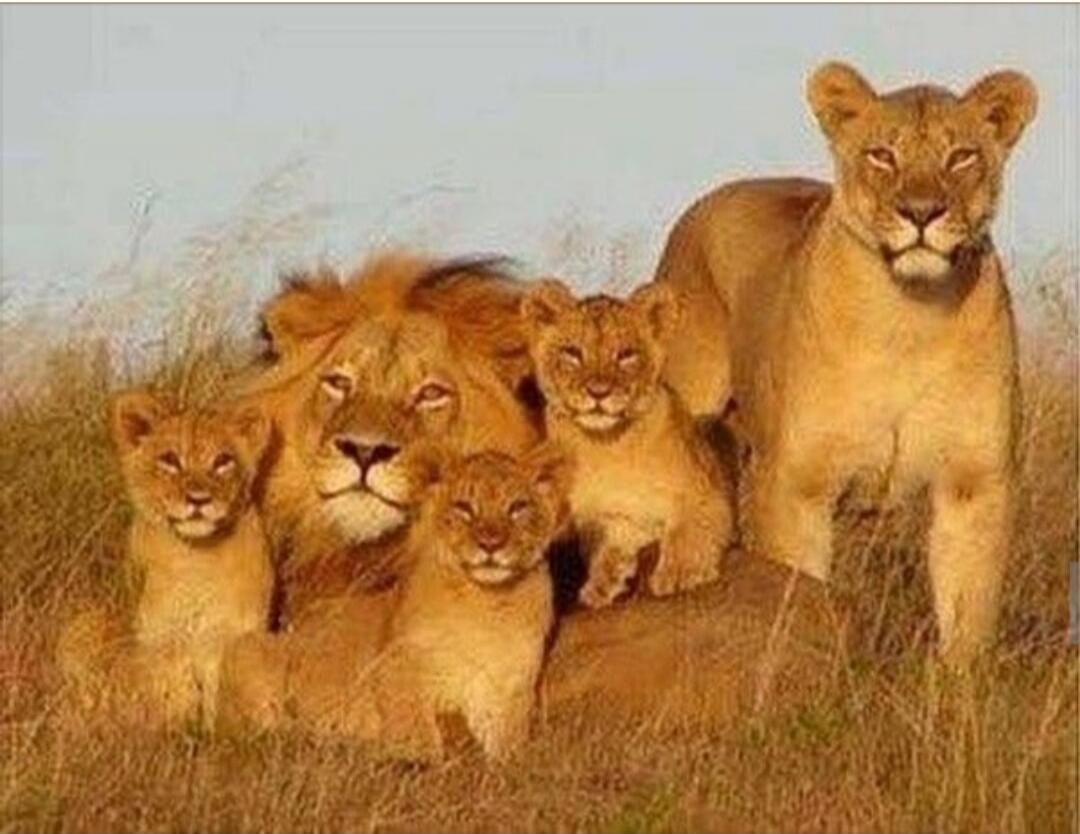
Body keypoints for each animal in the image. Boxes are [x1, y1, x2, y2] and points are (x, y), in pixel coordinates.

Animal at [62, 391, 274, 727]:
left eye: (222, 461)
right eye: (170, 460)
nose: (198, 499)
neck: (196, 559)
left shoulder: (231, 635)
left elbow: (220, 691)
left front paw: (217, 730)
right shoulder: (160, 638)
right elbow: (171, 690)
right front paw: (174, 729)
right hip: (82, 625)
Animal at [521, 278, 735, 608]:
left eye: (626, 355)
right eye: (573, 353)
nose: (598, 392)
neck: (608, 448)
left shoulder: (709, 495)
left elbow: (688, 529)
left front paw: (679, 572)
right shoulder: (615, 517)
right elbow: (608, 548)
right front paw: (601, 583)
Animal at [654, 61, 1037, 663]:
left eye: (961, 157)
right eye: (882, 155)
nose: (922, 213)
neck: (909, 320)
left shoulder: (974, 482)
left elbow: (968, 612)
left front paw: (962, 684)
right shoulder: (798, 487)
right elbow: (797, 593)